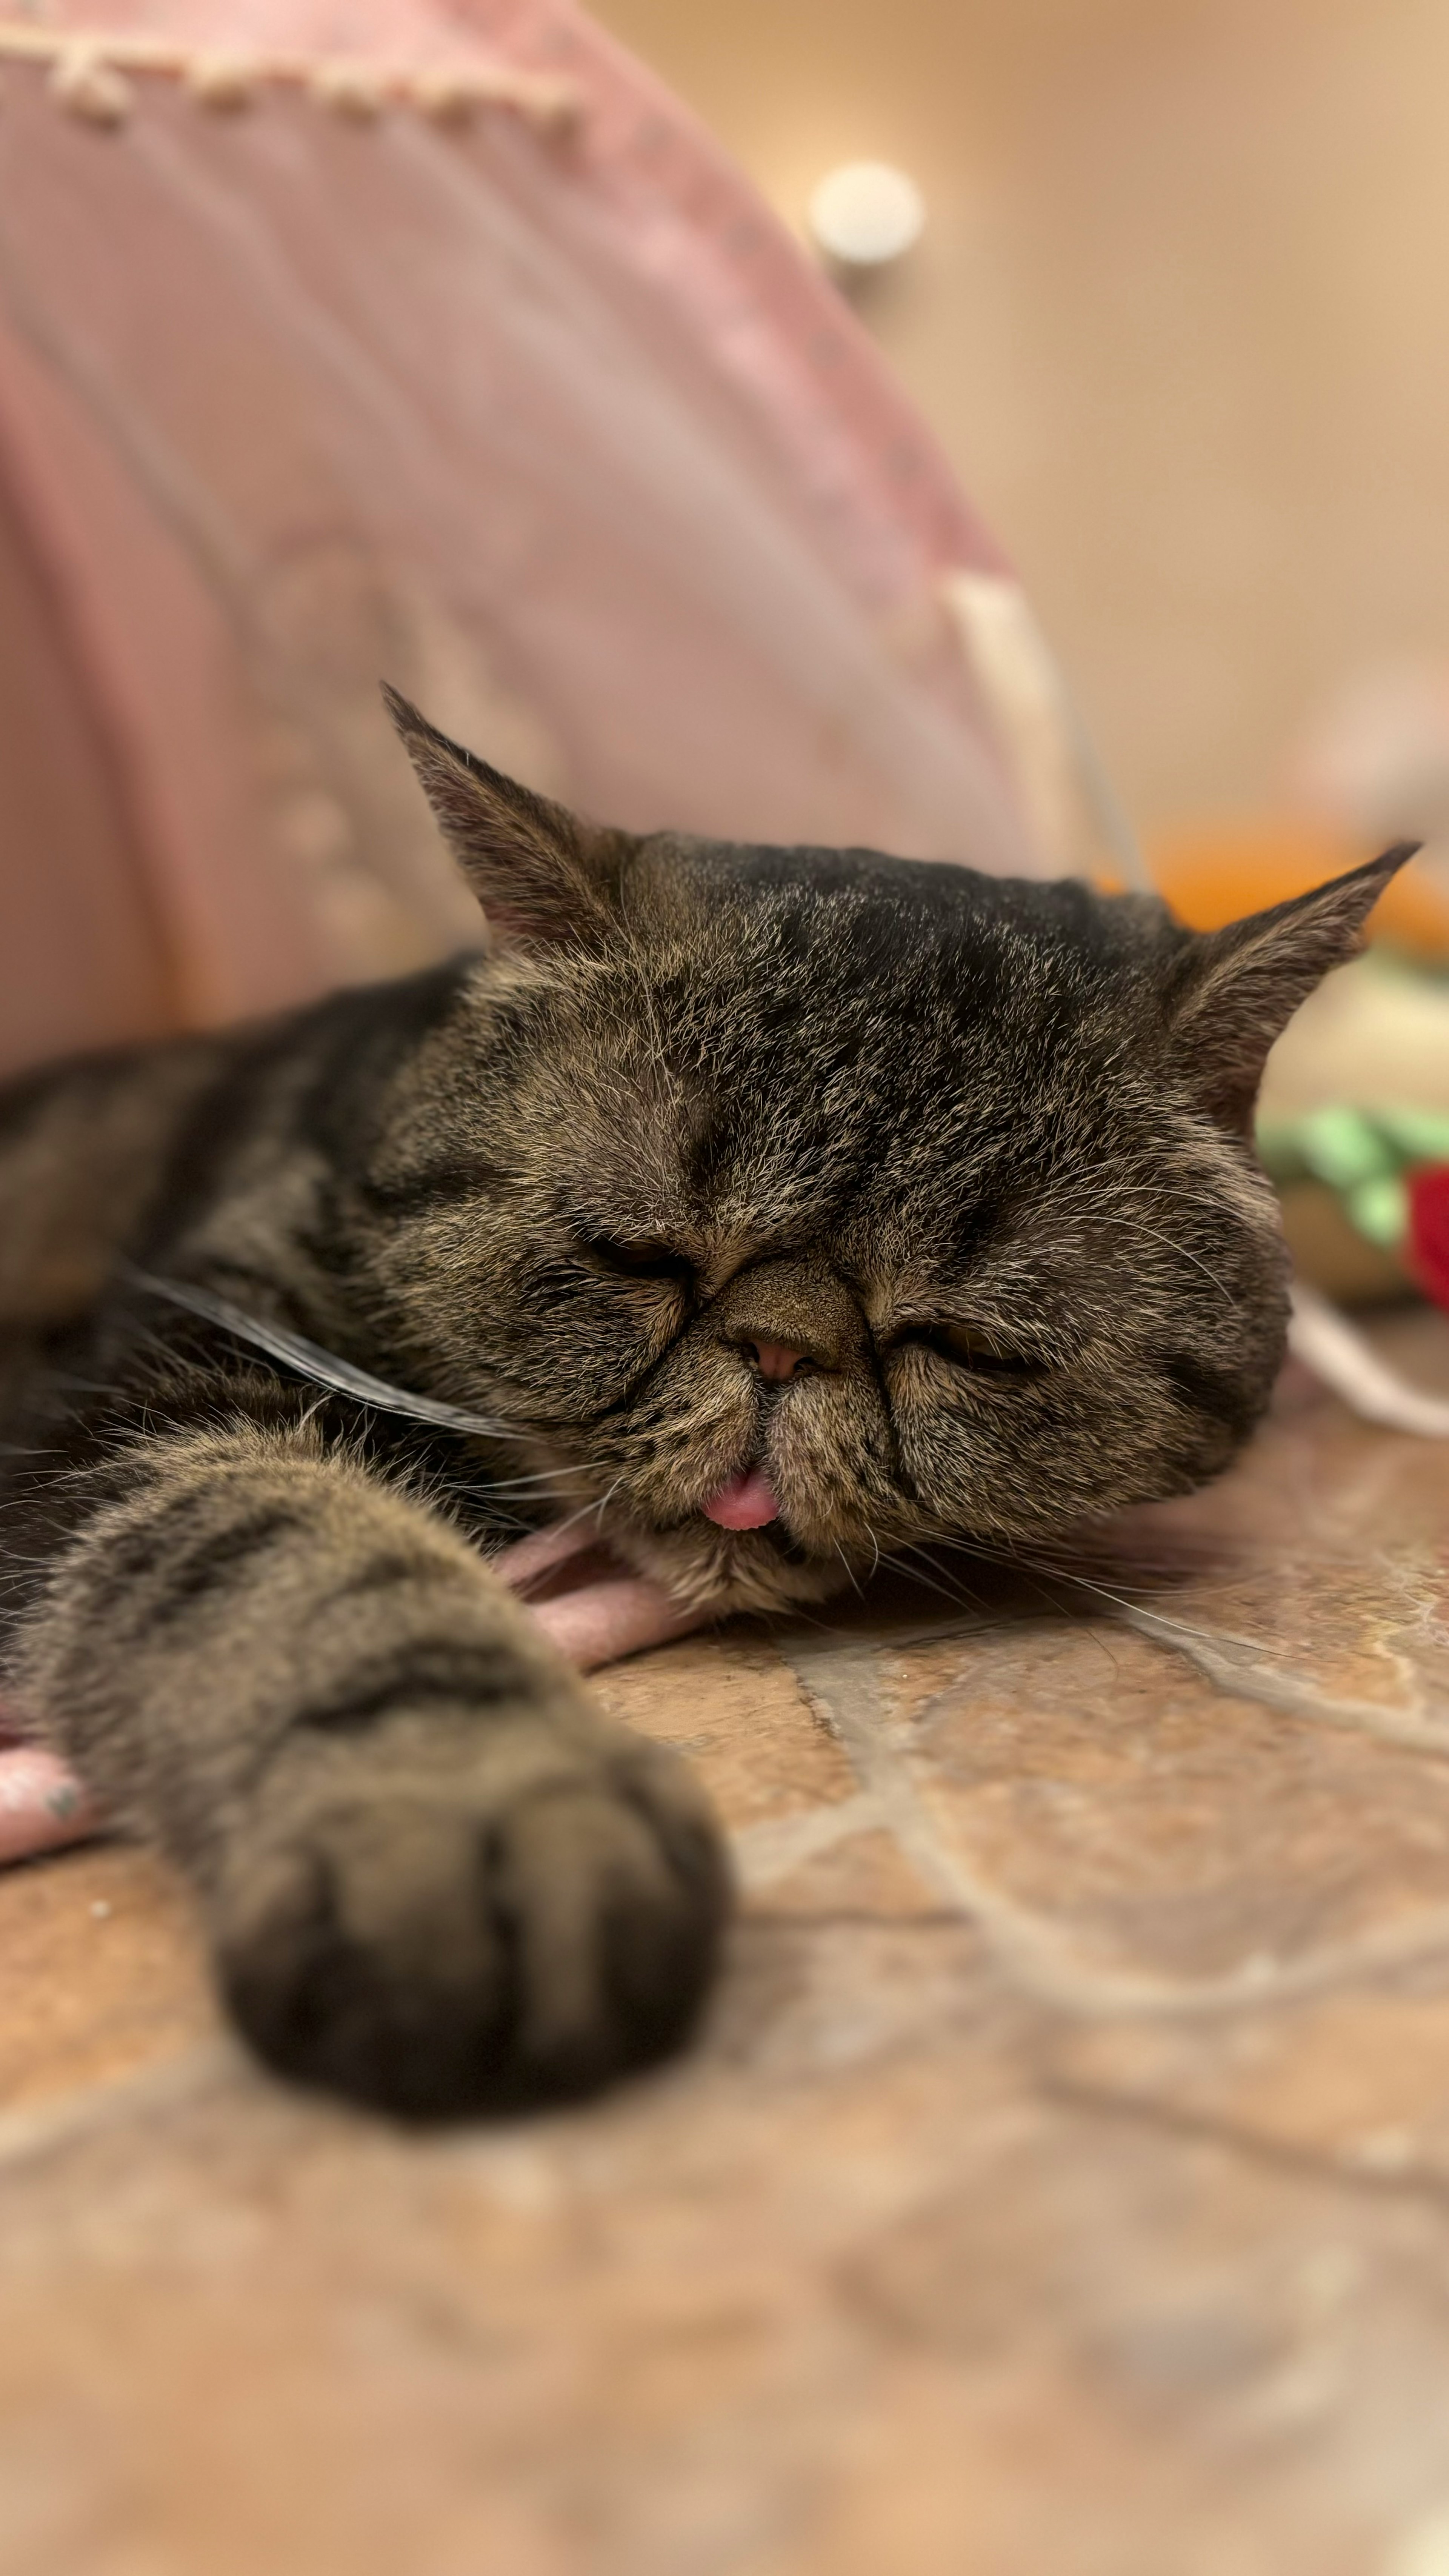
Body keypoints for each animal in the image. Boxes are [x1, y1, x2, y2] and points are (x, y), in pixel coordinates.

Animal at [0, 685, 1403, 2112]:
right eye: (635, 1254)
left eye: (964, 1340)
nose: (781, 1348)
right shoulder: (173, 1376)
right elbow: (301, 1562)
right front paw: (470, 1801)